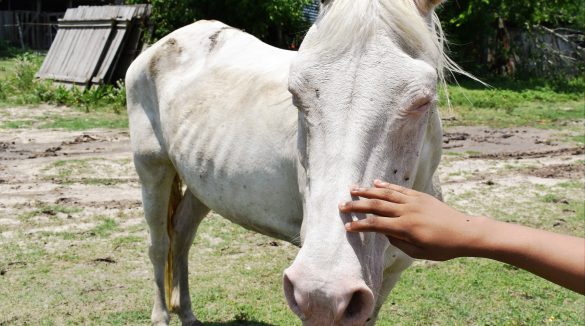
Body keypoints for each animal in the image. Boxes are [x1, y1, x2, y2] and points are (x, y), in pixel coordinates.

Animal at [126, 0, 448, 326]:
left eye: (423, 101)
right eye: (295, 94)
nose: (325, 294)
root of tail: (158, 47)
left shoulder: (385, 280)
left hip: (202, 181)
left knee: (182, 234)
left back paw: (188, 313)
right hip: (152, 169)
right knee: (159, 244)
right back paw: (161, 316)